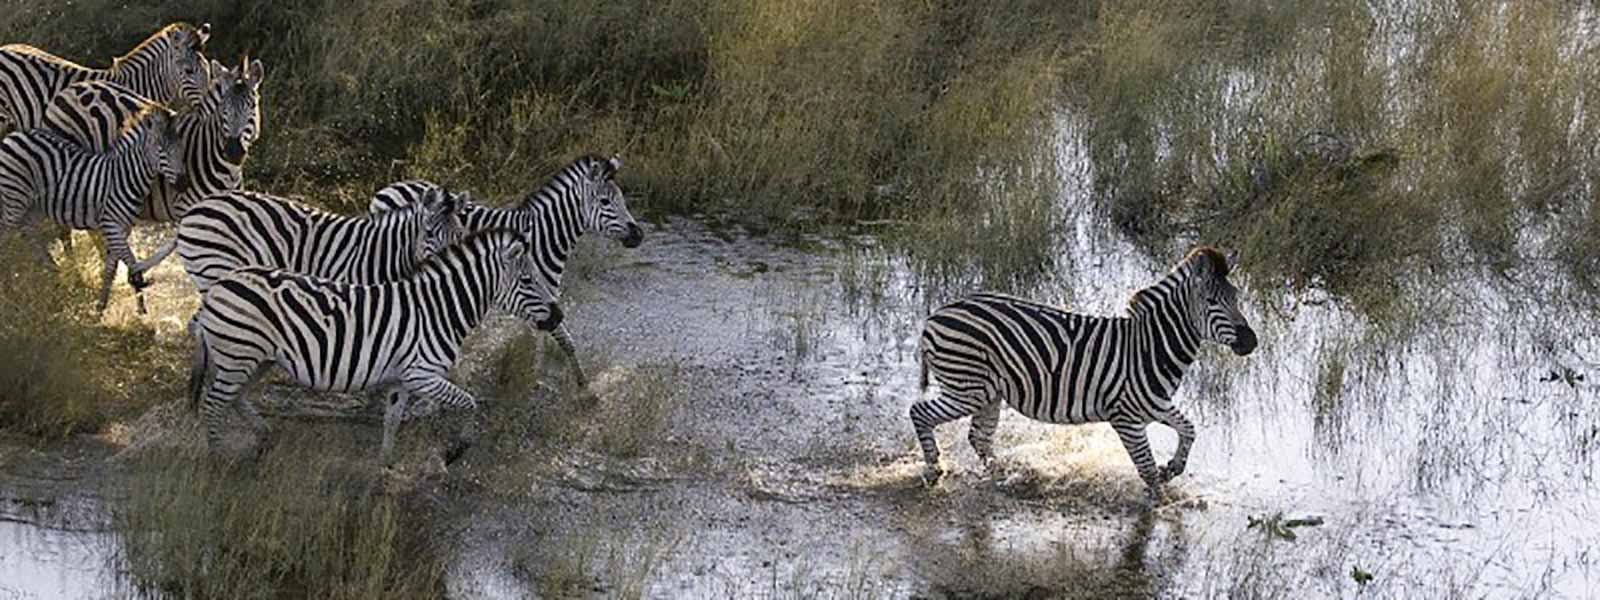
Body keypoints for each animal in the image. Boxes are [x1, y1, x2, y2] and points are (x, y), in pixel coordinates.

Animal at [0, 101, 184, 312]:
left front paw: (110, 306)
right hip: (15, 200)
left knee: (30, 235)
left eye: (181, 150)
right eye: (161, 151)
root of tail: (13, 136)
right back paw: (10, 284)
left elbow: (112, 266)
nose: (184, 184)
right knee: (7, 236)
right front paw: (136, 285)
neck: (124, 177)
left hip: (32, 208)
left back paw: (52, 273)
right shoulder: (111, 225)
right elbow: (128, 258)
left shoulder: (123, 228)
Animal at [188, 230, 566, 460]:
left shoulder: (402, 380)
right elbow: (468, 402)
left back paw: (263, 435)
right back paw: (217, 458)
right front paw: (456, 450)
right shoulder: (422, 375)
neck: (438, 309)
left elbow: (392, 420)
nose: (559, 316)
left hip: (257, 358)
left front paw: (384, 470)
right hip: (239, 354)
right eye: (528, 280)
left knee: (233, 397)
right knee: (214, 403)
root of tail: (220, 285)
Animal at [908, 246, 1254, 505]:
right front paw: (1160, 501)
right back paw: (934, 470)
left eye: (1237, 298)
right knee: (920, 412)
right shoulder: (1126, 417)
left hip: (988, 392)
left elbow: (1189, 430)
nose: (1251, 342)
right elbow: (1145, 467)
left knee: (978, 437)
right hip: (968, 388)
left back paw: (1006, 474)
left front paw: (1172, 468)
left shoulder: (1154, 404)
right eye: (1211, 301)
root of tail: (935, 315)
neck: (1150, 346)